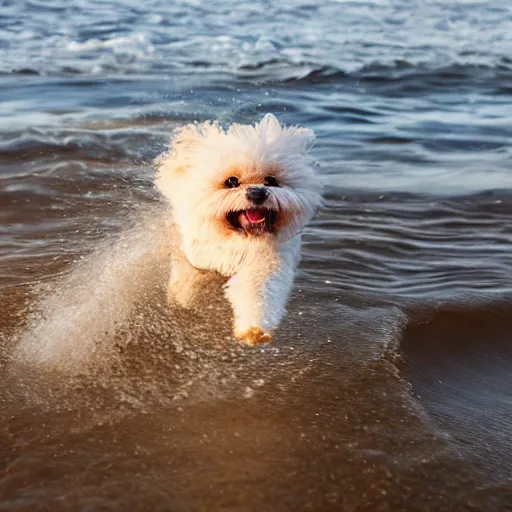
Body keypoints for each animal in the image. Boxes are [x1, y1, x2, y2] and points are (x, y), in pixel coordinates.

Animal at [156, 112, 324, 344]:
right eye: (231, 181)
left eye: (271, 180)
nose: (257, 192)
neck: (240, 239)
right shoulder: (197, 254)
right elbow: (193, 276)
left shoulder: (266, 264)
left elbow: (258, 294)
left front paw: (254, 331)